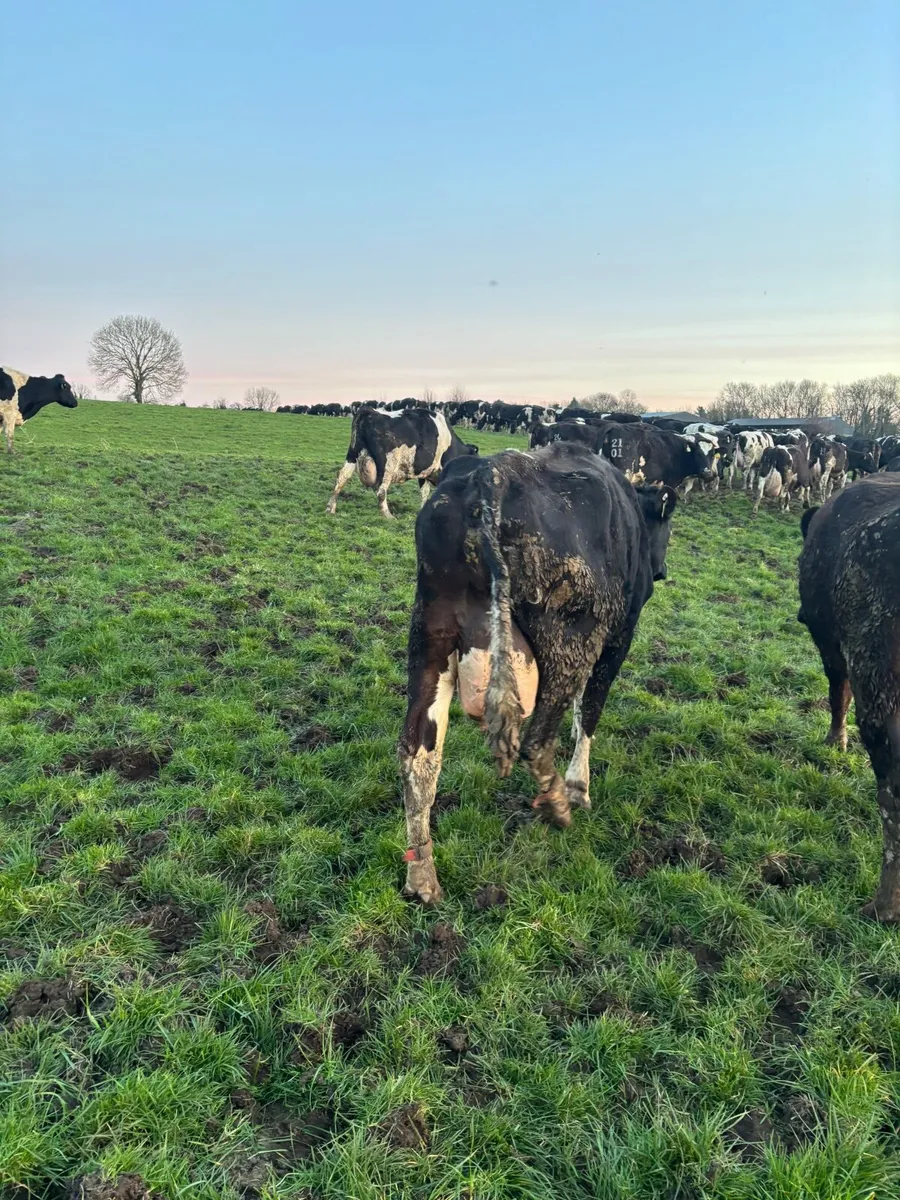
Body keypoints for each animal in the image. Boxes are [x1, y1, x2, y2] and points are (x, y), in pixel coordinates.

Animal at [326, 407, 478, 517]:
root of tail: (370, 412)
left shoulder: (425, 472)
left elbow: (424, 492)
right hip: (388, 464)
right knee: (381, 490)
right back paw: (388, 516)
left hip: (353, 454)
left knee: (341, 478)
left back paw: (330, 508)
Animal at [398, 442, 677, 904]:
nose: (662, 571)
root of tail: (491, 476)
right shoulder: (619, 636)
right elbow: (590, 708)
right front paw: (580, 787)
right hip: (566, 642)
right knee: (535, 741)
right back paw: (558, 802)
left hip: (430, 641)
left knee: (417, 756)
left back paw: (422, 876)